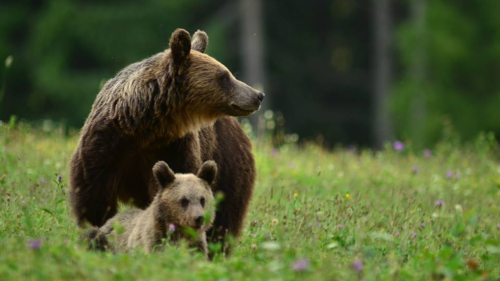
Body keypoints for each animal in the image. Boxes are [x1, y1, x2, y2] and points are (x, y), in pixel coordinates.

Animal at [71, 28, 266, 254]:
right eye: (224, 76)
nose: (258, 95)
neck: (144, 126)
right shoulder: (105, 147)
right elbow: (92, 198)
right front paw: (94, 237)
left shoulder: (173, 148)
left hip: (228, 163)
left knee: (226, 216)